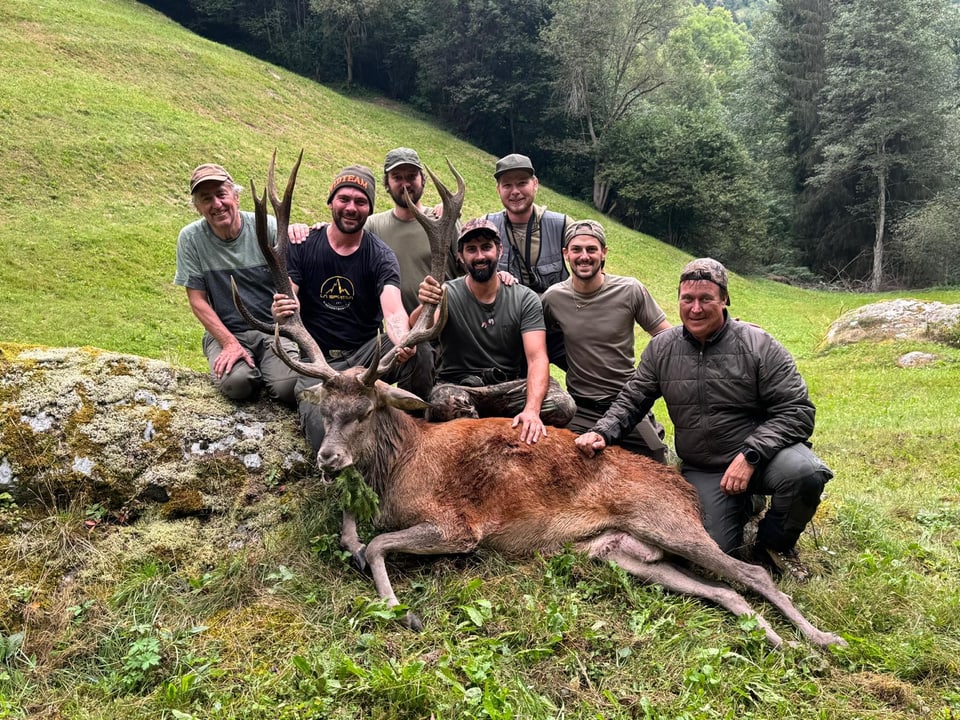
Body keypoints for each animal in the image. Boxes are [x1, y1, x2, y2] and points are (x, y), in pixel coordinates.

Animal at [236, 152, 844, 648]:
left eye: (365, 411)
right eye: (326, 410)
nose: (328, 459)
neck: (399, 469)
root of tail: (683, 487)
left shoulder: (459, 524)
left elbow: (378, 545)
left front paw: (401, 610)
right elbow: (353, 536)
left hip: (669, 522)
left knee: (752, 573)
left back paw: (821, 638)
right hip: (623, 552)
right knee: (725, 591)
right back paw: (774, 638)